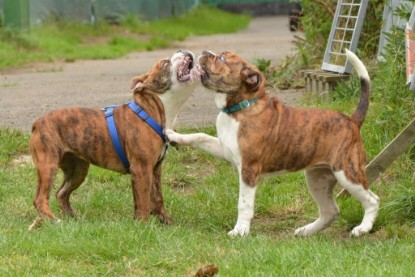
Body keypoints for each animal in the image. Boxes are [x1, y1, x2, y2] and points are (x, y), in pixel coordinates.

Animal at [28, 49, 202, 229]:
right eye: (165, 63)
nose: (181, 50)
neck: (153, 109)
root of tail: (38, 122)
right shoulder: (141, 168)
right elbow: (143, 200)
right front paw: (142, 225)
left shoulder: (155, 169)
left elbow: (157, 198)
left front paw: (167, 222)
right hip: (48, 165)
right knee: (40, 199)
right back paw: (54, 220)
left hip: (78, 169)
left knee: (61, 193)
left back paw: (74, 218)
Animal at [167, 49, 382, 235]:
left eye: (221, 58)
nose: (204, 51)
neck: (239, 108)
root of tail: (352, 120)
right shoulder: (224, 149)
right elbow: (200, 136)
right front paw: (172, 134)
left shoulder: (249, 169)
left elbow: (244, 204)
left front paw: (240, 231)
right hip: (317, 178)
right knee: (331, 210)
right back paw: (307, 231)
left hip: (347, 172)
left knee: (373, 200)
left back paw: (363, 228)